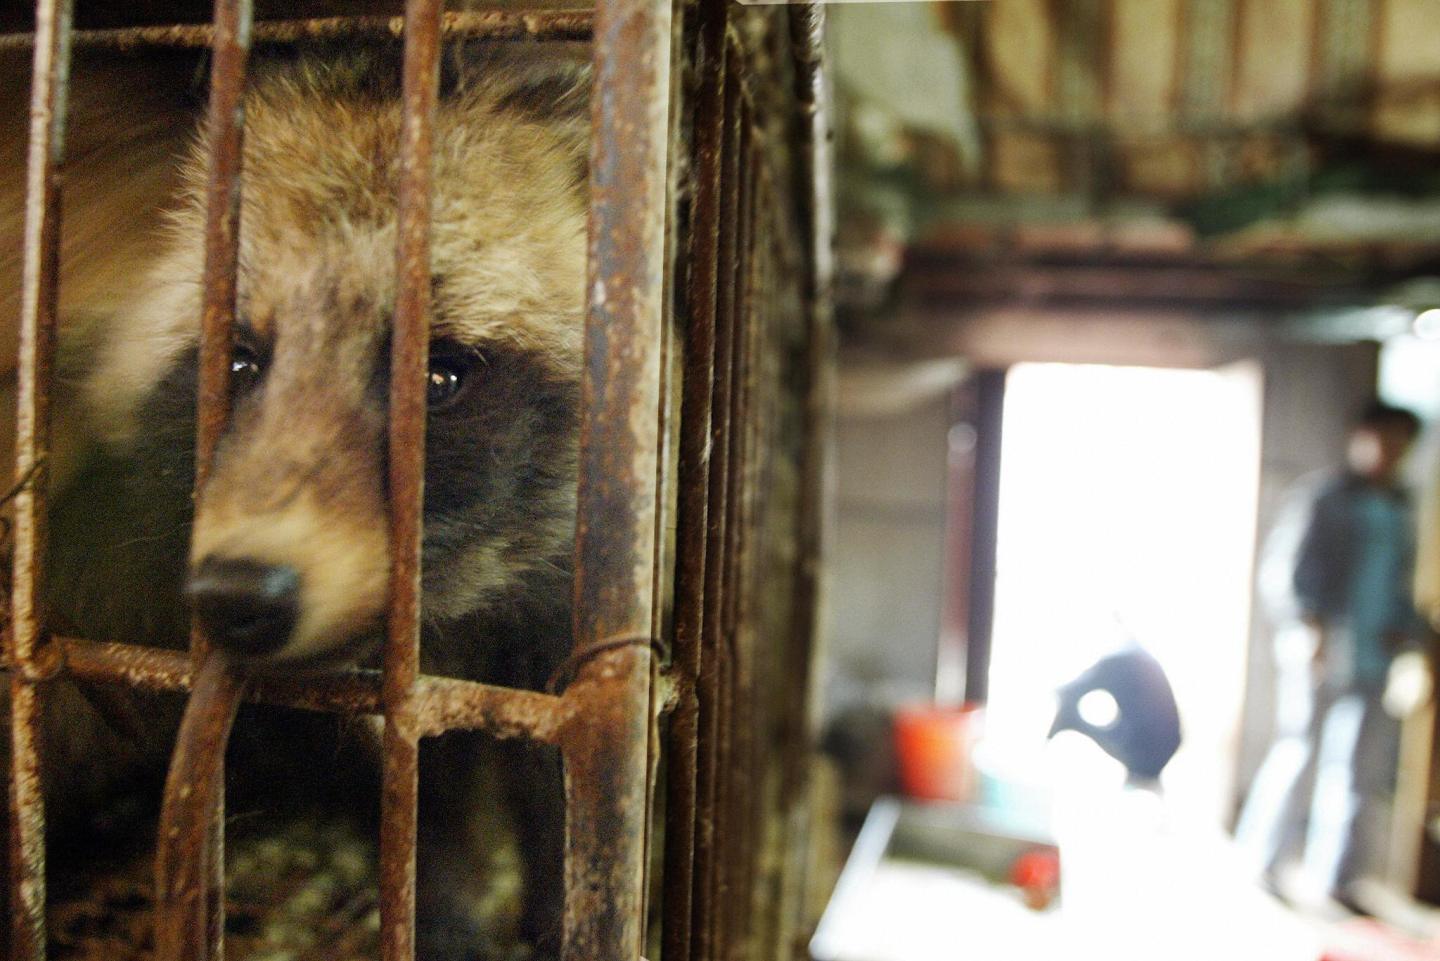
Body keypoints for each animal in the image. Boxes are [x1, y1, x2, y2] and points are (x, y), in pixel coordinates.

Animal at [15, 42, 592, 960]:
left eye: (439, 377)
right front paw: (440, 906)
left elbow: (558, 785)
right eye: (238, 362)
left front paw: (557, 906)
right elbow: (419, 800)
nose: (238, 592)